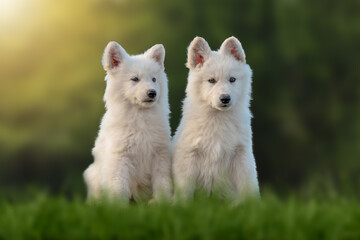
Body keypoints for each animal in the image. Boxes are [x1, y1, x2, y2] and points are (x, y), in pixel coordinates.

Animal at [85, 41, 174, 202]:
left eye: (154, 79)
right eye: (135, 79)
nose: (152, 93)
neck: (140, 117)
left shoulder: (160, 154)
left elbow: (162, 181)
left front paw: (161, 202)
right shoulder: (120, 157)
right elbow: (119, 186)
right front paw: (118, 205)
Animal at [172, 36, 258, 202]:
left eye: (232, 79)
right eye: (211, 80)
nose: (225, 98)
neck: (218, 118)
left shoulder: (241, 154)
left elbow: (248, 185)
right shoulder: (189, 156)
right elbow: (185, 188)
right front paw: (181, 205)